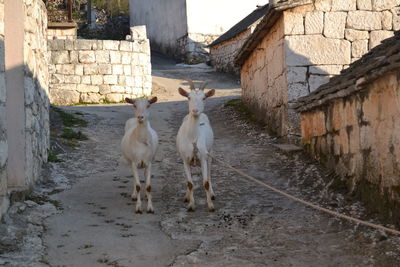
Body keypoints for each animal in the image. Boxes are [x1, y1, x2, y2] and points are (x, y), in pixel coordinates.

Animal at [177, 79, 217, 214]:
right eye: (188, 97)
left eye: (204, 98)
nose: (195, 111)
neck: (193, 138)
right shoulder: (185, 160)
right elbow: (190, 183)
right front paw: (191, 205)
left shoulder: (203, 157)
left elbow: (205, 182)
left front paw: (210, 205)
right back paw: (187, 196)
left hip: (210, 153)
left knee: (209, 174)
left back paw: (212, 194)